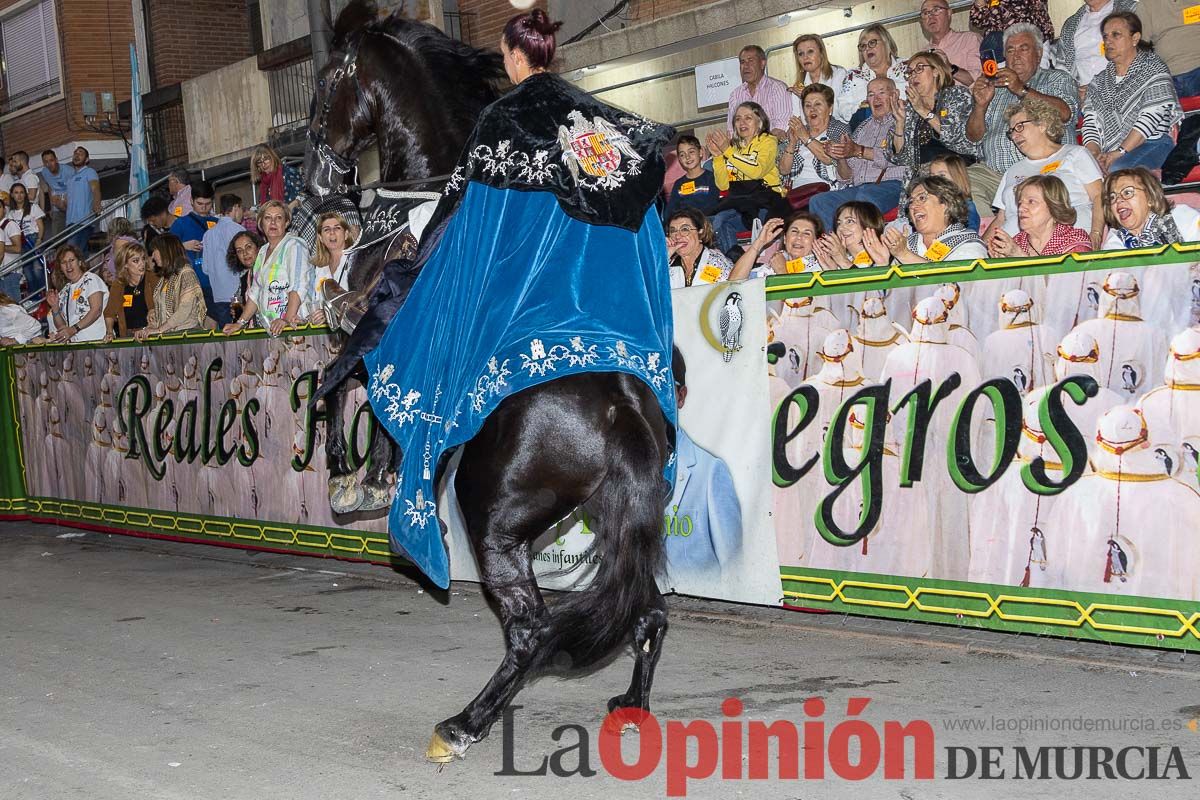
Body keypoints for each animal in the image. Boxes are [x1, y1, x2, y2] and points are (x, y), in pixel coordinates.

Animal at [304, 1, 506, 513]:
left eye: (324, 82)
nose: (313, 181)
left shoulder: (372, 316)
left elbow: (354, 380)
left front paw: (362, 474)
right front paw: (360, 471)